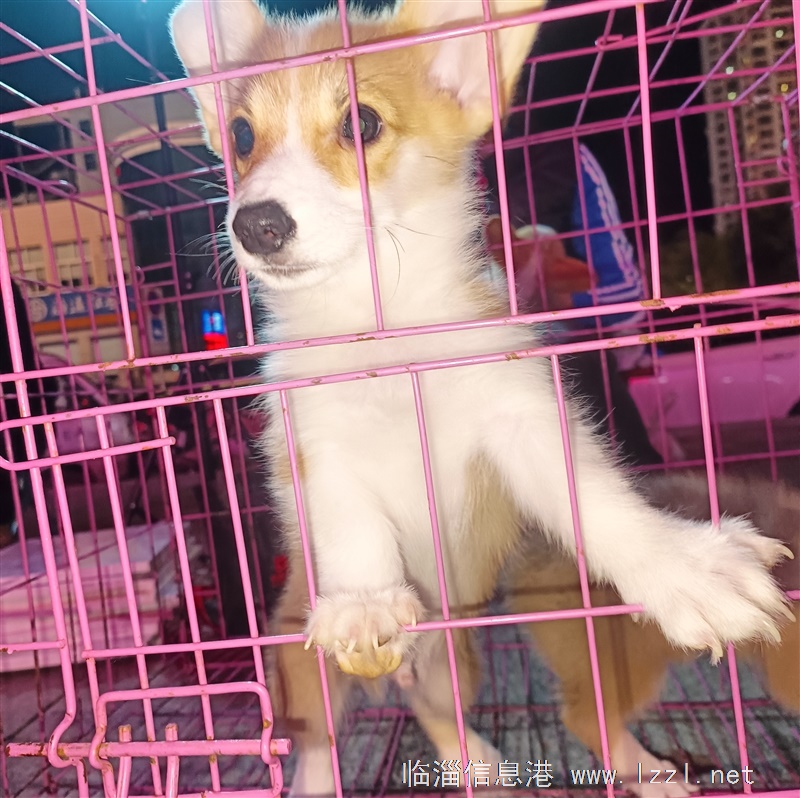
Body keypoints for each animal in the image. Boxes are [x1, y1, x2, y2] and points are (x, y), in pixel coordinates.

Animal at [170, 2, 793, 794]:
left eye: (361, 122)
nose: (255, 224)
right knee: (317, 742)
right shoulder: (314, 443)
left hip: (454, 661)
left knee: (437, 709)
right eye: (243, 136)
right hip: (300, 663)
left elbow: (598, 502)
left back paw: (488, 761)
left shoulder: (520, 416)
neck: (382, 332)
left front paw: (688, 570)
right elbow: (350, 520)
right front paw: (365, 600)